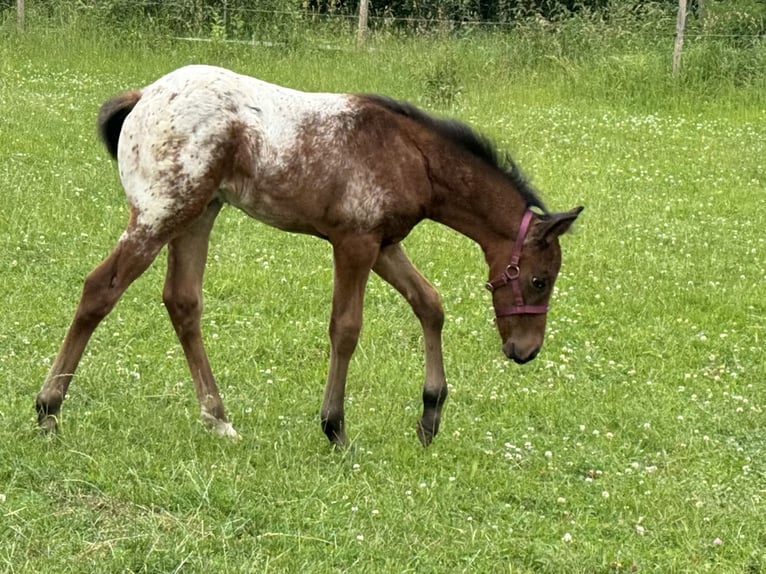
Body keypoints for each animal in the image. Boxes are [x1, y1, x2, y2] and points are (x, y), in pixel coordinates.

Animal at [36, 65, 584, 448]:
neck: (412, 156)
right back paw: (48, 409)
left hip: (199, 213)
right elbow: (346, 328)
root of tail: (144, 96)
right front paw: (335, 427)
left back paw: (219, 420)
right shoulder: (354, 243)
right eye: (540, 279)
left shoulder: (384, 244)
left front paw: (430, 416)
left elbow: (429, 303)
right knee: (100, 289)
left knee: (183, 302)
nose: (525, 351)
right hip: (162, 213)